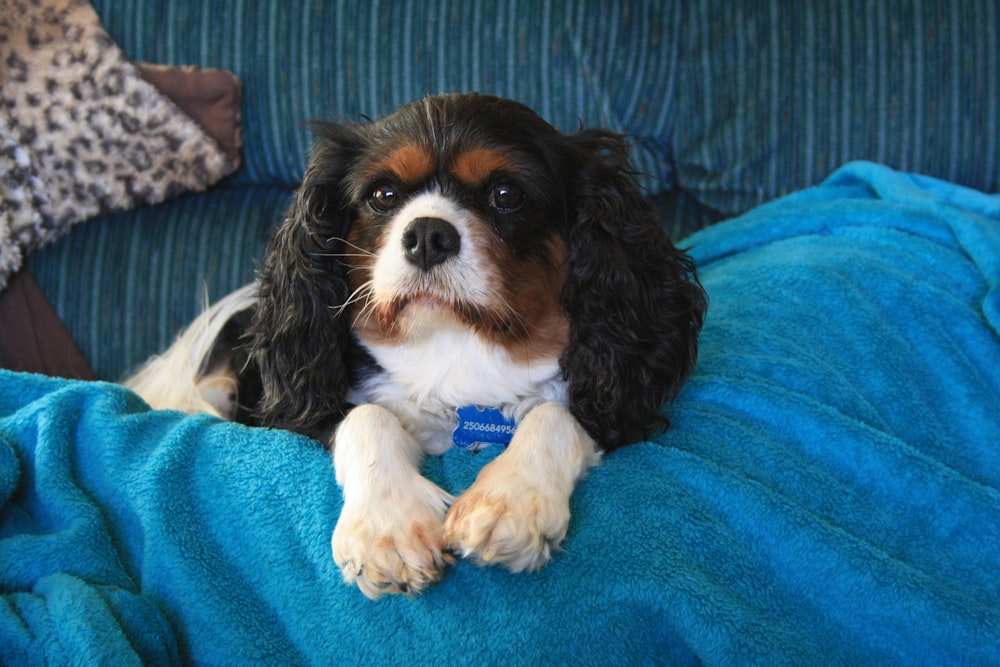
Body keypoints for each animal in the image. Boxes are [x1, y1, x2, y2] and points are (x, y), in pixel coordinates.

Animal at [125, 91, 708, 596]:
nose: (427, 234)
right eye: (383, 195)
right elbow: (366, 419)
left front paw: (510, 502)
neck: (456, 349)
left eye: (506, 195)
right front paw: (389, 528)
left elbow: (554, 415)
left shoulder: (608, 397)